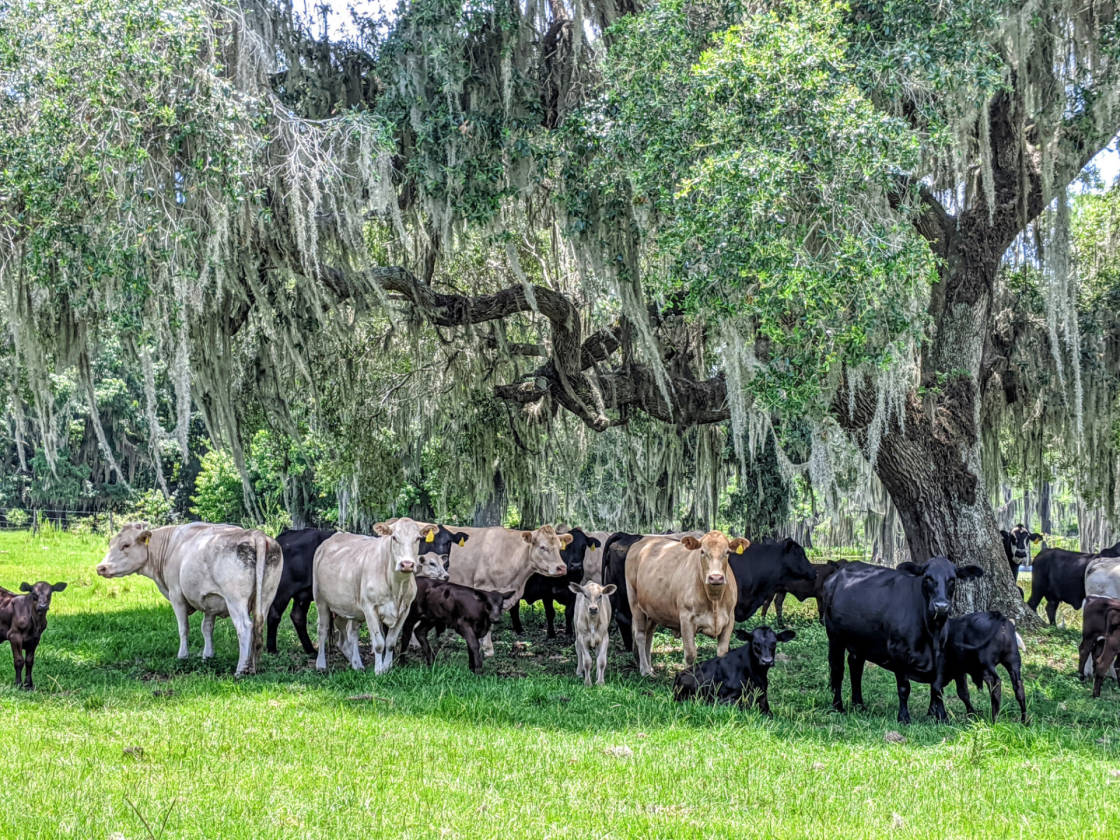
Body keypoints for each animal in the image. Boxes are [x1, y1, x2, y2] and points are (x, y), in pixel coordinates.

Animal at [97, 522, 282, 675]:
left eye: (125, 545)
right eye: (111, 544)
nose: (101, 567)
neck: (172, 546)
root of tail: (255, 534)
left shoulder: (176, 594)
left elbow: (183, 628)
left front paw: (183, 656)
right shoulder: (211, 602)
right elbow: (206, 628)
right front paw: (207, 656)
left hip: (235, 600)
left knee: (244, 627)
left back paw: (241, 669)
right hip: (266, 597)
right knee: (258, 625)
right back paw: (253, 666)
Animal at [268, 527, 337, 655]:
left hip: (303, 594)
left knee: (297, 616)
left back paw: (310, 650)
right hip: (283, 590)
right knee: (274, 615)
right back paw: (272, 650)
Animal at [312, 518, 436, 674]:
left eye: (418, 538)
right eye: (394, 537)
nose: (407, 564)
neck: (396, 587)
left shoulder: (404, 610)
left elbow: (390, 642)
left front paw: (387, 667)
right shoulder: (370, 608)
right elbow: (378, 644)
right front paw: (378, 671)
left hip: (347, 607)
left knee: (349, 635)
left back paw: (356, 663)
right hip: (320, 599)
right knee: (322, 630)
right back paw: (321, 664)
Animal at [626, 531, 747, 676]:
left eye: (727, 552)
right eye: (702, 551)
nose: (716, 577)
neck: (714, 600)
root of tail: (644, 540)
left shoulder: (729, 619)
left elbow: (722, 654)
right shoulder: (686, 619)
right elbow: (690, 655)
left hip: (652, 609)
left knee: (649, 635)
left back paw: (650, 668)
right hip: (634, 601)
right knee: (640, 635)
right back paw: (644, 670)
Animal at [822, 556, 985, 724]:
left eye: (952, 579)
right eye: (928, 577)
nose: (941, 606)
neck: (931, 633)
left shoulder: (940, 654)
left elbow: (937, 687)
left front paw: (941, 717)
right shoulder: (898, 652)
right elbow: (904, 687)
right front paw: (904, 717)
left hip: (860, 642)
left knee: (856, 667)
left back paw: (859, 705)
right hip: (835, 637)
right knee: (838, 670)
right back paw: (838, 706)